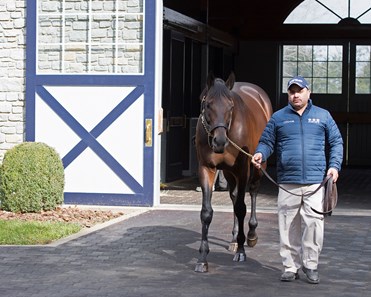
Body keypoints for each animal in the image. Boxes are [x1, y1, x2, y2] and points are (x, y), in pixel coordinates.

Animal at [195, 71, 274, 270]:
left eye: (231, 106)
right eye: (208, 104)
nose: (220, 142)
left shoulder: (243, 169)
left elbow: (241, 208)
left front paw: (241, 251)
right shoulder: (207, 168)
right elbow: (206, 212)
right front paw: (202, 258)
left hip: (259, 166)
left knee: (252, 192)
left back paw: (251, 235)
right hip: (228, 173)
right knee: (234, 195)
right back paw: (233, 239)